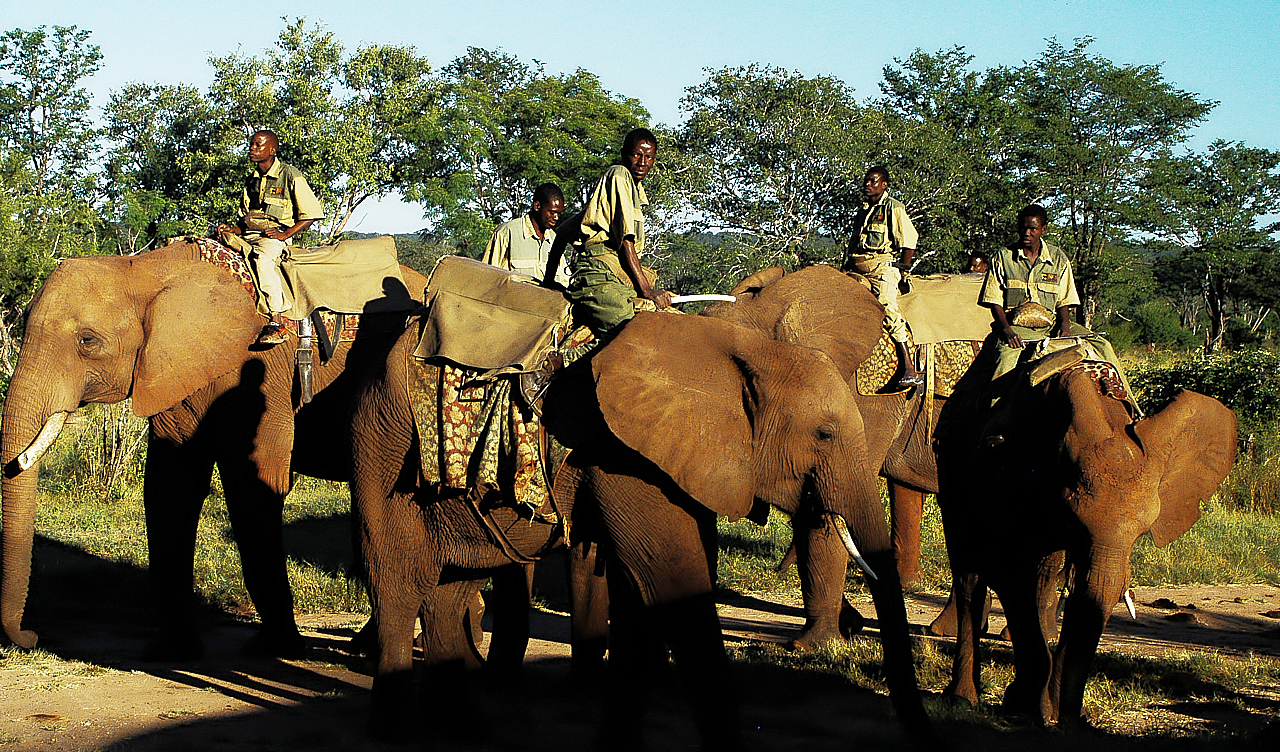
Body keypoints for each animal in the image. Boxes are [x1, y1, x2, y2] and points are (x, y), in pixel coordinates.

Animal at [0, 240, 424, 659]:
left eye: (87, 341)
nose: (31, 637)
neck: (147, 269)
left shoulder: (260, 369)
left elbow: (252, 485)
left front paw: (276, 649)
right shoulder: (174, 368)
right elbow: (171, 484)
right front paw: (171, 651)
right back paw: (370, 645)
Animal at [348, 303, 931, 746]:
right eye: (824, 435)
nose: (923, 736)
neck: (737, 348)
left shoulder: (676, 459)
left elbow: (642, 598)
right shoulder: (621, 455)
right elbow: (673, 585)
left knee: (452, 589)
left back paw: (467, 731)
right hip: (382, 440)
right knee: (401, 584)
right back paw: (396, 733)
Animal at [931, 350, 1239, 726]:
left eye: (1142, 533)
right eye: (1071, 517)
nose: (1072, 721)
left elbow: (1068, 587)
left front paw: (1042, 710)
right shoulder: (1007, 479)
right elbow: (1009, 572)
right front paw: (1036, 710)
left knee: (1041, 577)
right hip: (949, 471)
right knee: (970, 572)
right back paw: (962, 698)